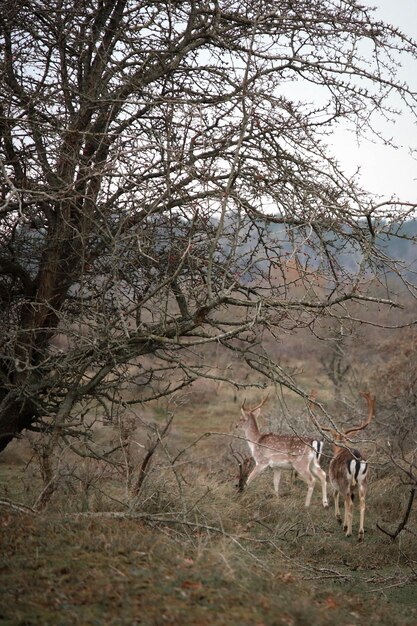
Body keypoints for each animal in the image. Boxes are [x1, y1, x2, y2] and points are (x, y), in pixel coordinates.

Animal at [316, 390, 374, 540]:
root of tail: (357, 460)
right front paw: (345, 524)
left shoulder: (334, 481)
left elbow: (335, 495)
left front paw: (341, 521)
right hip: (363, 482)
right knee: (362, 502)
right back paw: (360, 533)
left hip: (345, 481)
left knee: (350, 502)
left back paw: (348, 532)